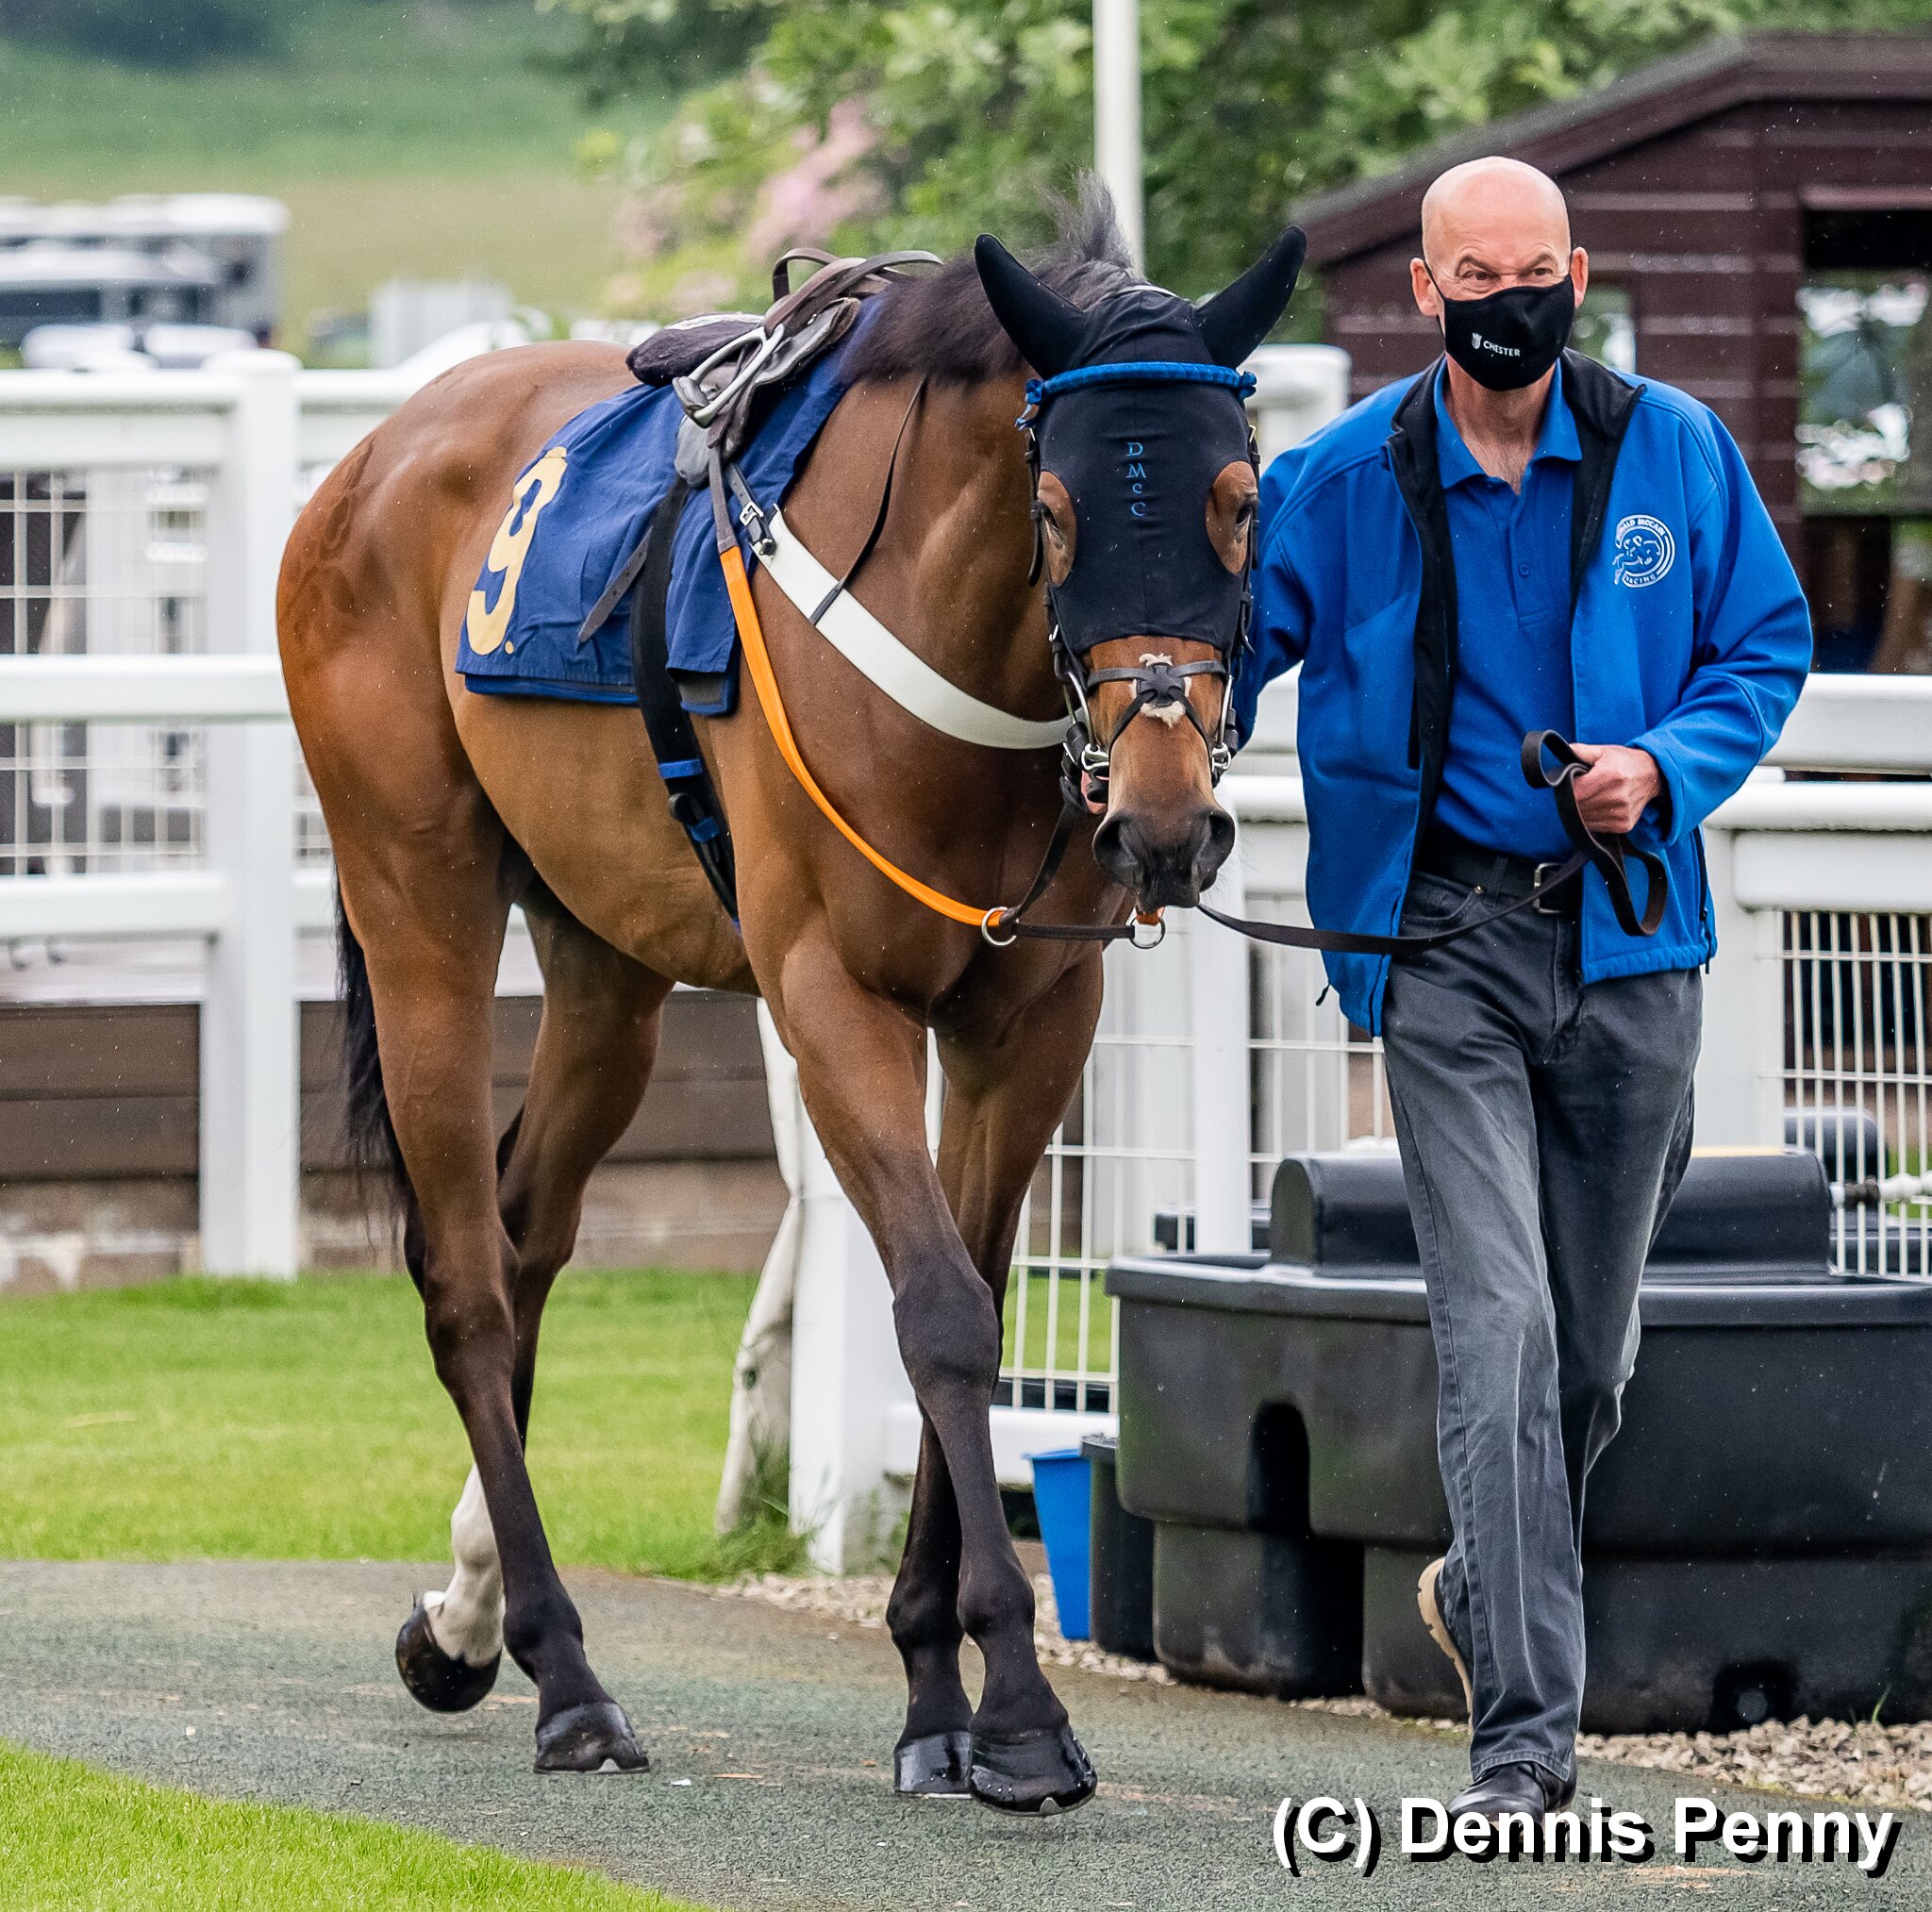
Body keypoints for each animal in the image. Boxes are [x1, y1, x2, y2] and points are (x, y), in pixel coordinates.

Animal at [277, 190, 1304, 1812]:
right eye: (1059, 511)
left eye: (1241, 497)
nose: (1162, 821)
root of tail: (372, 458)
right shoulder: (833, 997)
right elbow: (938, 1310)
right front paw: (1019, 1703)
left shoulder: (1033, 1016)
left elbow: (981, 1292)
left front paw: (937, 1689)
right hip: (416, 902)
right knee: (465, 1278)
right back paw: (567, 1673)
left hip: (604, 964)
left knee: (526, 1231)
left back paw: (467, 1612)